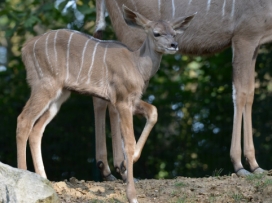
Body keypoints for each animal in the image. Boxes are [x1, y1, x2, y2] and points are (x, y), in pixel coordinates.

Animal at [17, 4, 194, 203]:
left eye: (174, 33)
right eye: (156, 33)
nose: (173, 45)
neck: (137, 65)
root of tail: (25, 48)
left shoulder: (130, 100)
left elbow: (153, 111)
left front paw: (130, 161)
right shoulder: (122, 100)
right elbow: (129, 142)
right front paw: (132, 195)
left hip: (60, 95)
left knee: (37, 129)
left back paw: (43, 179)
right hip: (44, 86)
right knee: (24, 120)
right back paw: (23, 174)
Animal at [94, 0, 272, 178]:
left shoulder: (254, 43)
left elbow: (250, 93)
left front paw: (255, 166)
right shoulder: (244, 37)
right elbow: (241, 93)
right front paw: (240, 165)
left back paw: (108, 170)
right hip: (131, 38)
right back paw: (122, 169)